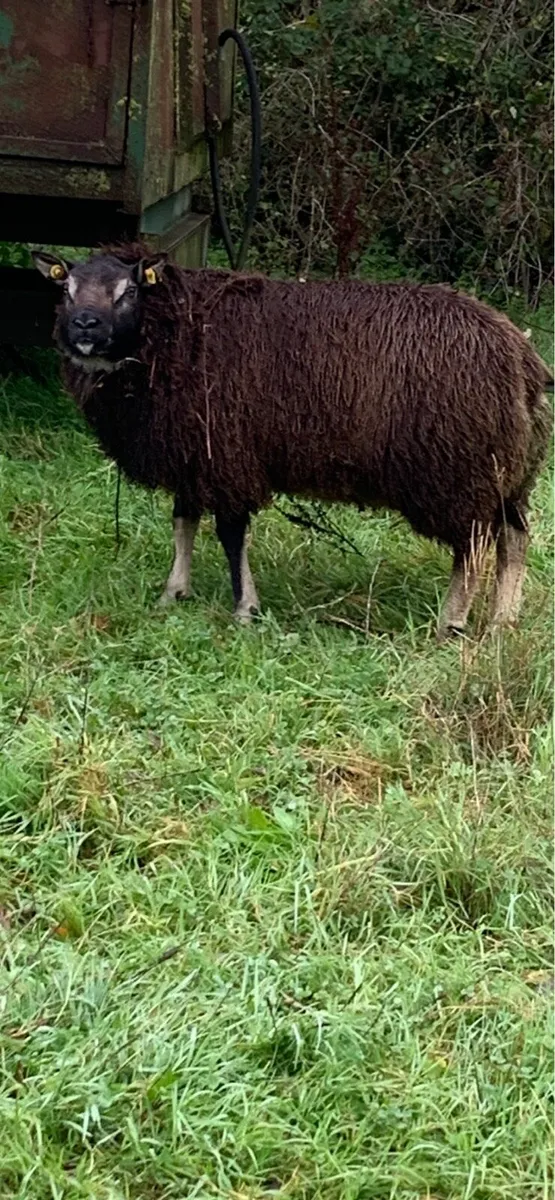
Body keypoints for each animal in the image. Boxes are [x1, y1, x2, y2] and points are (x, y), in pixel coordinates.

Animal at [33, 244, 552, 638]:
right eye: (65, 287)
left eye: (129, 291)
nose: (84, 326)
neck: (171, 334)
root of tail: (524, 361)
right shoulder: (194, 456)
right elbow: (183, 521)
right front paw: (173, 592)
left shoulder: (227, 456)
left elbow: (230, 534)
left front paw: (245, 608)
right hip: (507, 473)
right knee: (515, 538)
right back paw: (504, 620)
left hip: (457, 473)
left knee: (475, 545)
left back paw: (453, 622)